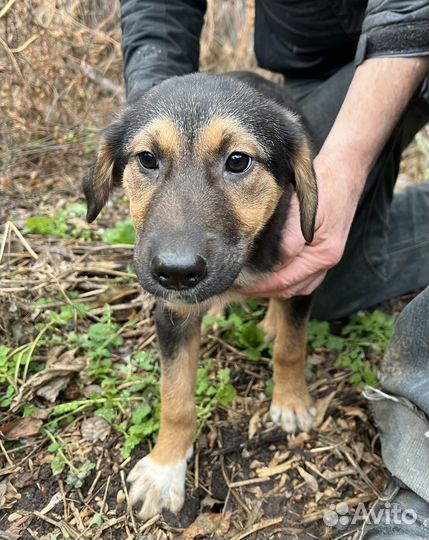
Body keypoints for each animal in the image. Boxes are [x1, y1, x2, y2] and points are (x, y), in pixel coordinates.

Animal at [83, 71, 318, 520]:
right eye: (147, 159)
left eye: (238, 161)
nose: (176, 273)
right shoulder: (172, 313)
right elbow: (176, 399)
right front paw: (165, 468)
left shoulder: (302, 275)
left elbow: (291, 348)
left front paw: (292, 401)